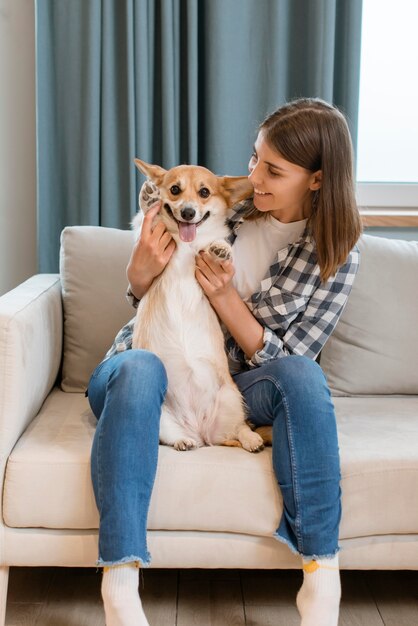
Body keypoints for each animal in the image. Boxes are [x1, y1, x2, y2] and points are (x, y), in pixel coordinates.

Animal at [131, 160, 262, 454]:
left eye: (204, 192)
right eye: (174, 189)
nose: (188, 212)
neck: (185, 243)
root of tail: (200, 431)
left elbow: (216, 243)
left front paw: (221, 249)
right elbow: (147, 218)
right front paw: (148, 197)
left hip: (231, 398)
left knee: (238, 429)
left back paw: (252, 439)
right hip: (163, 415)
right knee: (173, 436)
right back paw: (184, 441)